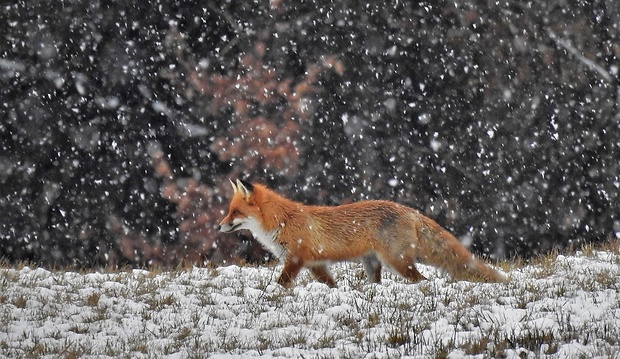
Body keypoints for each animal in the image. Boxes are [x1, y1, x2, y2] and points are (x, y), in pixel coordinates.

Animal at [218, 180, 504, 290]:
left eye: (234, 212)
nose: (219, 227)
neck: (282, 221)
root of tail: (409, 210)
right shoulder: (316, 264)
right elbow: (330, 284)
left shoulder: (295, 259)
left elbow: (280, 283)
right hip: (373, 264)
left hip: (397, 261)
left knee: (421, 279)